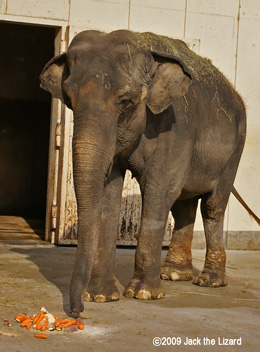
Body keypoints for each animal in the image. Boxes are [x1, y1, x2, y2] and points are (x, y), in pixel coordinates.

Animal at [40, 30, 254, 314]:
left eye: (125, 101)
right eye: (69, 99)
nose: (76, 311)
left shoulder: (175, 126)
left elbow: (159, 189)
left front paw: (142, 294)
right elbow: (109, 194)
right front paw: (100, 296)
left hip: (234, 151)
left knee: (212, 206)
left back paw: (210, 281)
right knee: (183, 206)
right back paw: (174, 275)